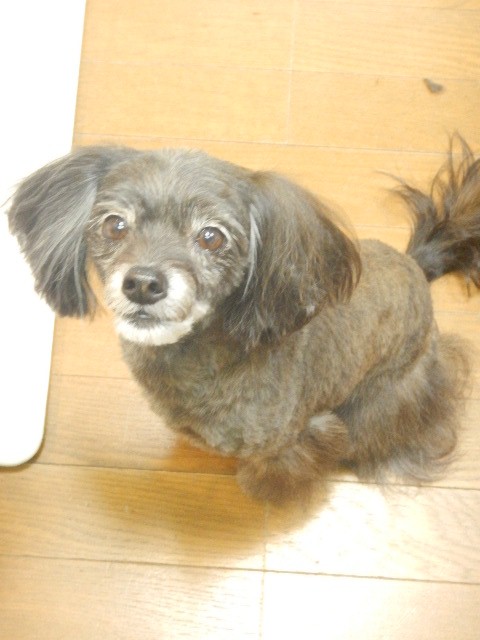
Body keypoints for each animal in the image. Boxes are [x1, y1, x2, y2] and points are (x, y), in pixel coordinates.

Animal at [7, 138, 480, 503]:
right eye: (115, 225)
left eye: (211, 237)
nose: (142, 283)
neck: (202, 362)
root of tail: (419, 265)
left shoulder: (296, 439)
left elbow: (273, 471)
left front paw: (262, 491)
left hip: (389, 396)